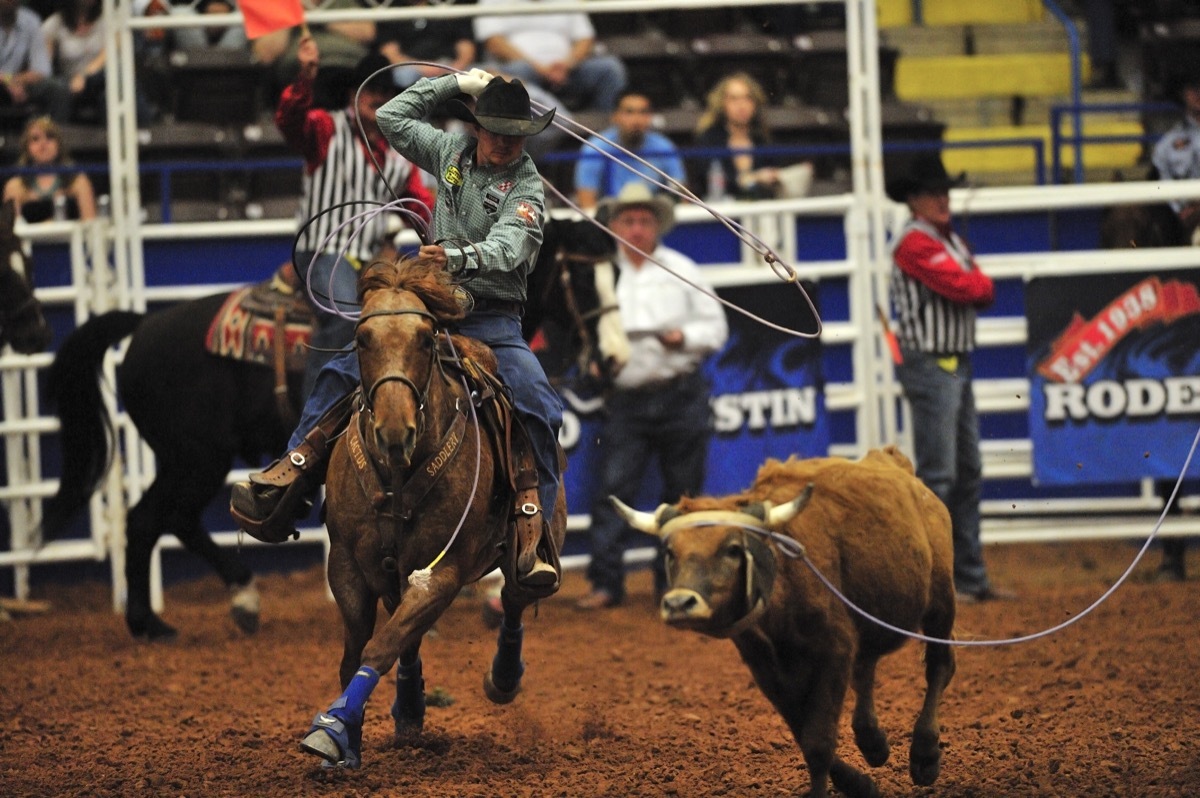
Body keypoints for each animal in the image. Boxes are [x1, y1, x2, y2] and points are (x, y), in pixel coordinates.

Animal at [41, 218, 614, 643]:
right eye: (587, 279)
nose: (611, 357)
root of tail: (144, 324)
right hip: (194, 458)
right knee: (149, 520)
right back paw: (158, 619)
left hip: (193, 461)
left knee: (169, 519)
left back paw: (212, 604)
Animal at [297, 255, 564, 768]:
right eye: (362, 337)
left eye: (425, 338)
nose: (393, 432)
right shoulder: (346, 565)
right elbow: (356, 652)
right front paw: (348, 740)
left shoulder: (442, 574)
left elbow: (380, 648)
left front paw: (334, 728)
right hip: (393, 573)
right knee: (410, 635)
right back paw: (409, 707)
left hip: (526, 551)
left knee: (514, 599)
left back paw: (503, 678)